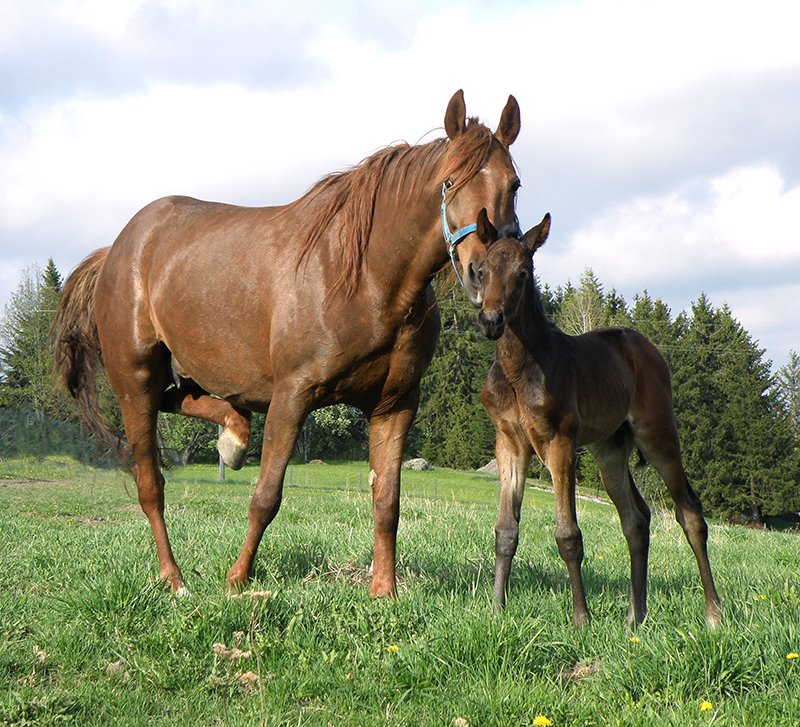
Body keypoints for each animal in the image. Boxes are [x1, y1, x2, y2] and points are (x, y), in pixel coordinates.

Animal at [52, 90, 523, 597]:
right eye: (449, 182)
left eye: (514, 185)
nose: (485, 275)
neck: (366, 279)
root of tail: (117, 250)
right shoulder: (292, 396)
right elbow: (266, 497)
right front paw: (237, 579)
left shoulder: (395, 405)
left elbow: (387, 502)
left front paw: (385, 592)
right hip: (133, 380)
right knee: (150, 484)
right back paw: (173, 578)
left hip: (174, 373)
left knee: (186, 403)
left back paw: (234, 436)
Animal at [473, 209, 722, 628]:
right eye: (482, 269)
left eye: (523, 273)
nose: (492, 320)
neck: (519, 371)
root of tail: (647, 348)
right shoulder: (509, 442)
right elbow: (505, 530)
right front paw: (495, 610)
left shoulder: (560, 441)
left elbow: (568, 535)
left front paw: (581, 619)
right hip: (610, 449)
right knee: (636, 519)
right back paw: (634, 618)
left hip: (658, 434)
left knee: (689, 512)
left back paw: (714, 614)